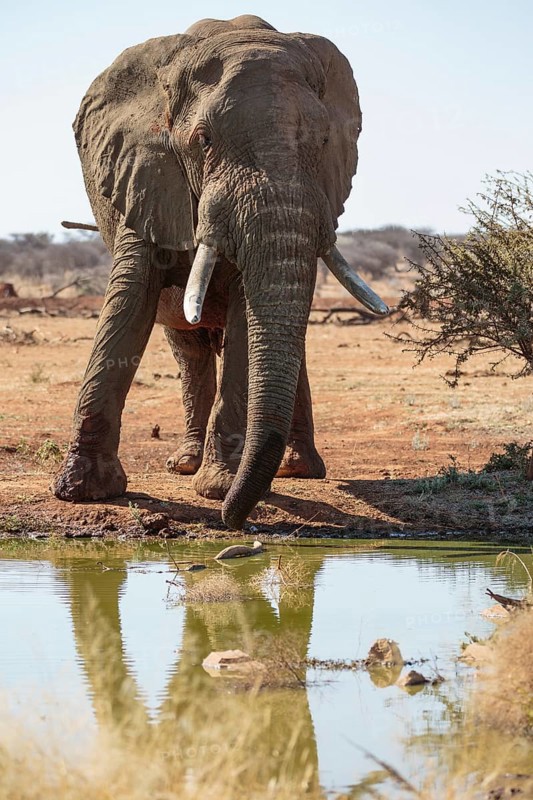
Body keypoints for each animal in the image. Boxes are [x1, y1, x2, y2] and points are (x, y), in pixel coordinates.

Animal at [52, 14, 388, 529]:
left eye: (325, 142)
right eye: (202, 141)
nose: (234, 520)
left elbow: (246, 317)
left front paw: (217, 489)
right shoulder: (147, 177)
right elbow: (129, 304)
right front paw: (83, 491)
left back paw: (297, 470)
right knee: (189, 350)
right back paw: (185, 463)